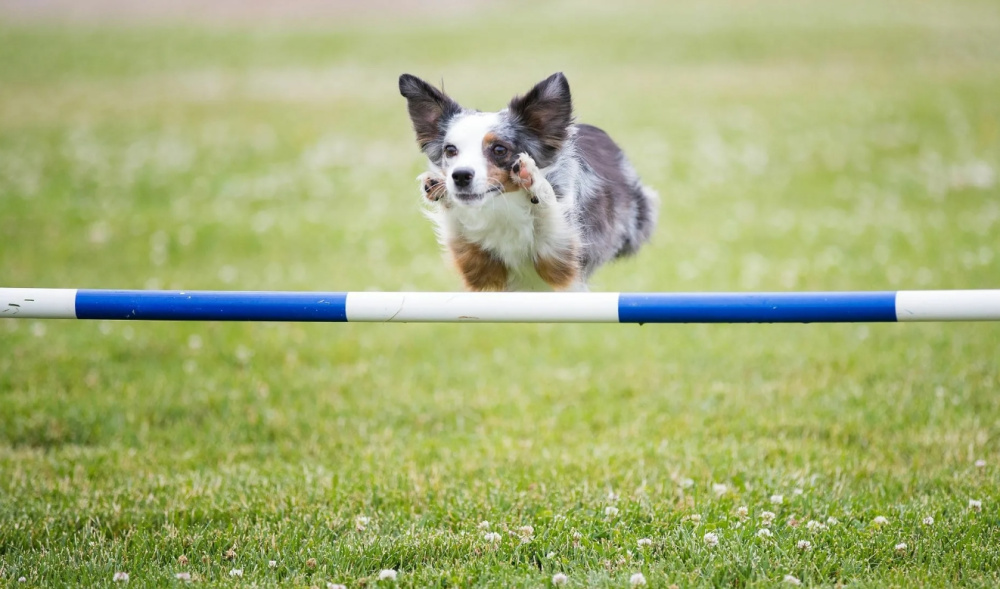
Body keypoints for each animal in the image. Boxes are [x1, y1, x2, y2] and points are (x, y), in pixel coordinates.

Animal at [398, 73, 656, 292]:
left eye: (499, 149)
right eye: (450, 150)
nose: (460, 176)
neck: (504, 203)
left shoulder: (562, 262)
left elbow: (549, 217)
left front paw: (534, 181)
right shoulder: (483, 276)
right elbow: (461, 231)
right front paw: (441, 190)